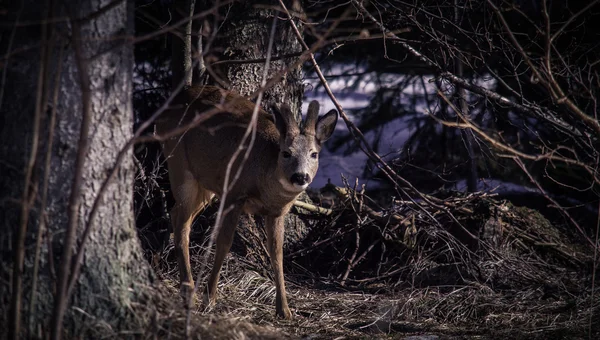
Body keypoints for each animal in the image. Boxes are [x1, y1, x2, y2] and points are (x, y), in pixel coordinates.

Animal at [156, 85, 338, 318]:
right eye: (286, 153)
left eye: (314, 154)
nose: (300, 177)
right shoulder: (234, 194)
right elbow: (224, 243)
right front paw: (210, 298)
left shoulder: (277, 212)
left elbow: (277, 254)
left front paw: (284, 309)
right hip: (179, 164)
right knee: (182, 226)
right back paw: (190, 294)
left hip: (205, 185)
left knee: (176, 214)